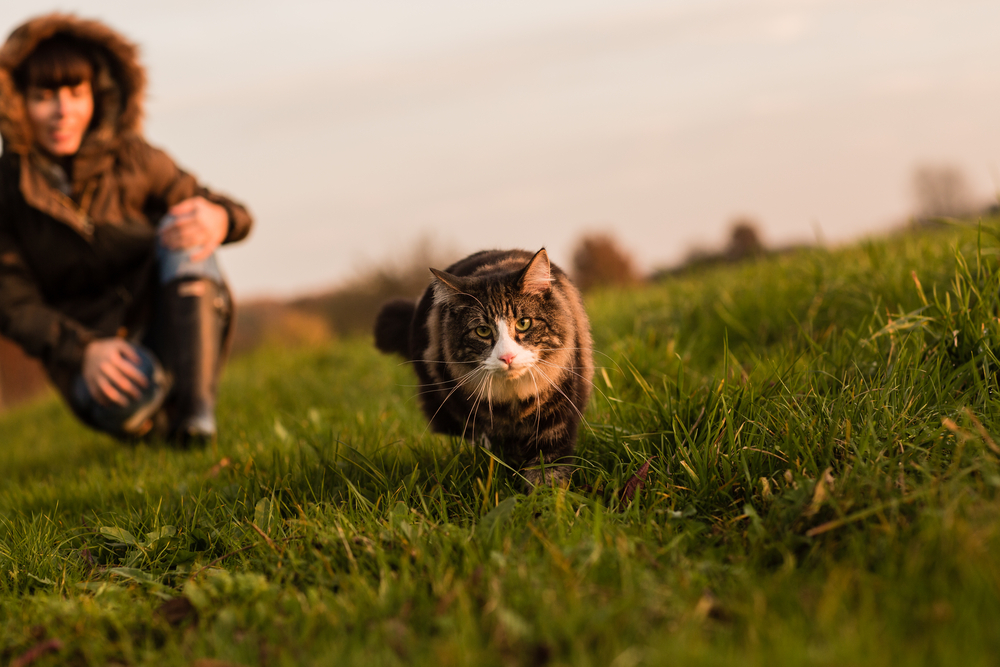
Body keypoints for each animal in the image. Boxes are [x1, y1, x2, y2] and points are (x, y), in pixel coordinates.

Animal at [376, 245, 592, 486]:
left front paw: (545, 493)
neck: (513, 400)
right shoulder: (475, 416)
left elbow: (547, 465)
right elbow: (495, 453)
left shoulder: (556, 413)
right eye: (482, 331)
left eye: (523, 323)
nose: (507, 357)